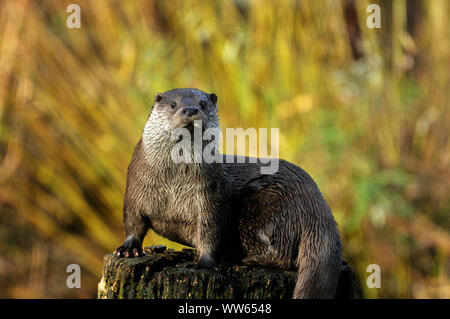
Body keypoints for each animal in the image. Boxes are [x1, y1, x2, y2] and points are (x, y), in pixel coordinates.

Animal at [114, 88, 342, 300]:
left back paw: (244, 259)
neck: (173, 188)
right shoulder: (135, 189)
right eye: (173, 104)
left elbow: (210, 230)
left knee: (281, 253)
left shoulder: (209, 196)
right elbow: (133, 223)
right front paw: (127, 249)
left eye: (203, 104)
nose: (191, 110)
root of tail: (319, 207)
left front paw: (202, 262)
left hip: (269, 204)